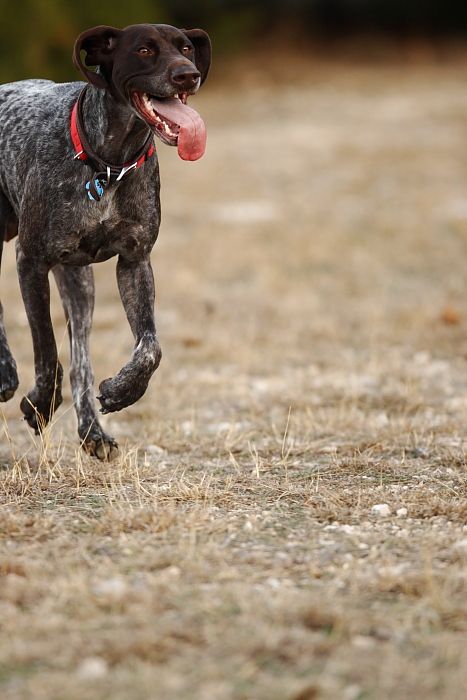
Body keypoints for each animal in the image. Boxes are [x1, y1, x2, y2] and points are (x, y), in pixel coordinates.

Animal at [0, 23, 212, 460]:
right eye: (144, 50)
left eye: (186, 48)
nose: (188, 76)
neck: (109, 165)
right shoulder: (29, 260)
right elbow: (46, 349)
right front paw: (39, 404)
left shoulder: (135, 262)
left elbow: (150, 347)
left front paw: (122, 391)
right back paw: (6, 372)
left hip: (79, 283)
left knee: (80, 358)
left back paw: (92, 431)